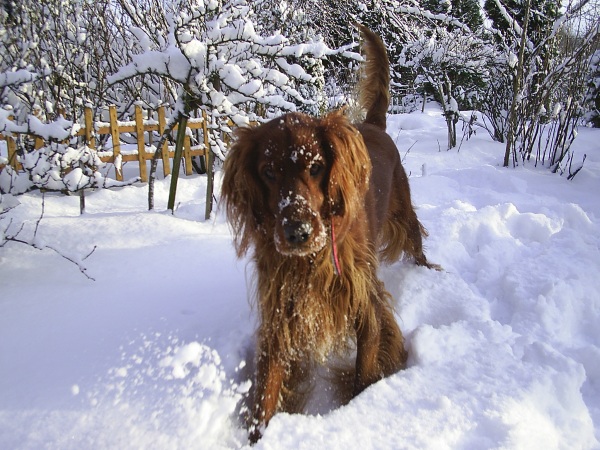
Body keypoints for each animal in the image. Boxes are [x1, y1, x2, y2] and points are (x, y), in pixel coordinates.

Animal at [220, 25, 436, 442]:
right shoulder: (282, 314)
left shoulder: (366, 303)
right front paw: (258, 436)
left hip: (402, 214)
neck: (310, 260)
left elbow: (364, 374)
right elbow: (266, 391)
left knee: (416, 240)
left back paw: (429, 271)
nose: (298, 232)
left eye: (317, 167)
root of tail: (373, 125)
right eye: (267, 171)